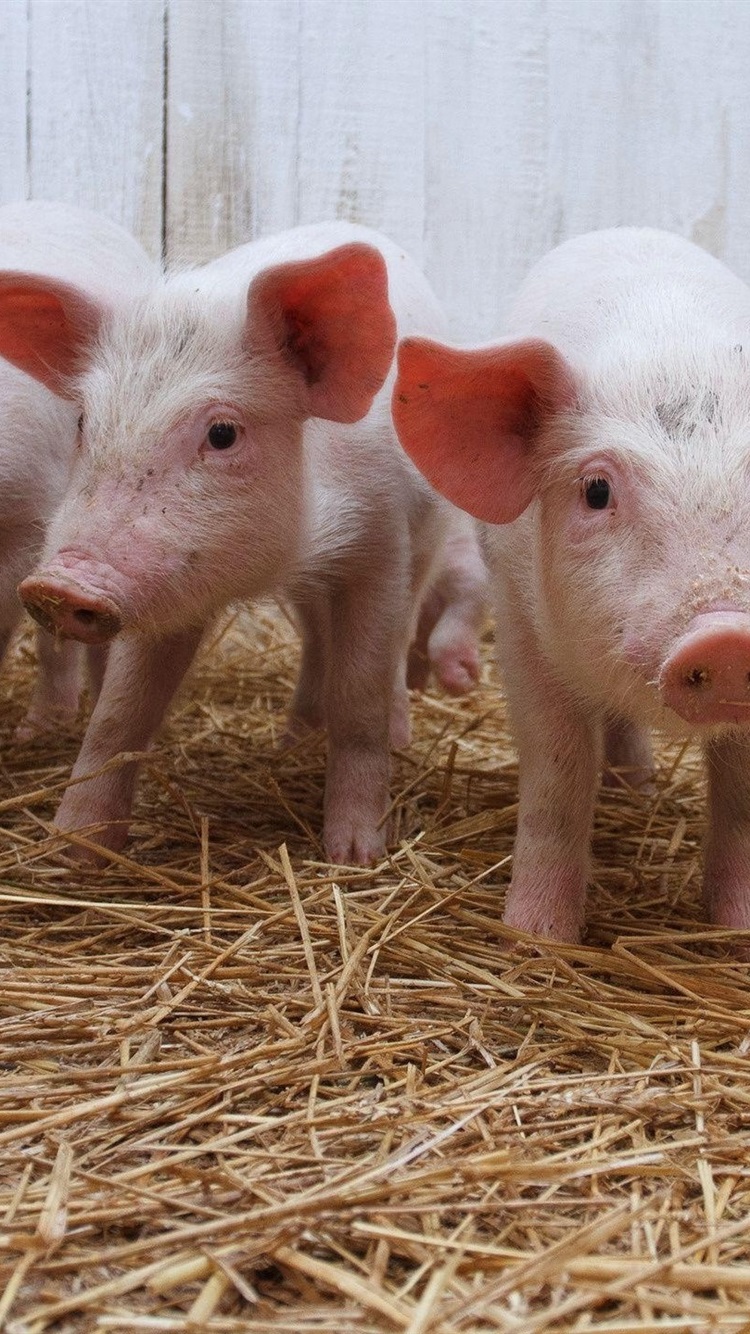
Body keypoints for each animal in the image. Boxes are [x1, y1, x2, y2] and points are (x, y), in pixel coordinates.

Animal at [393, 226, 750, 942]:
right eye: (596, 490)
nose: (728, 636)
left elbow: (742, 795)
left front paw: (735, 931)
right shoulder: (520, 622)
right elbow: (558, 767)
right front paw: (535, 937)